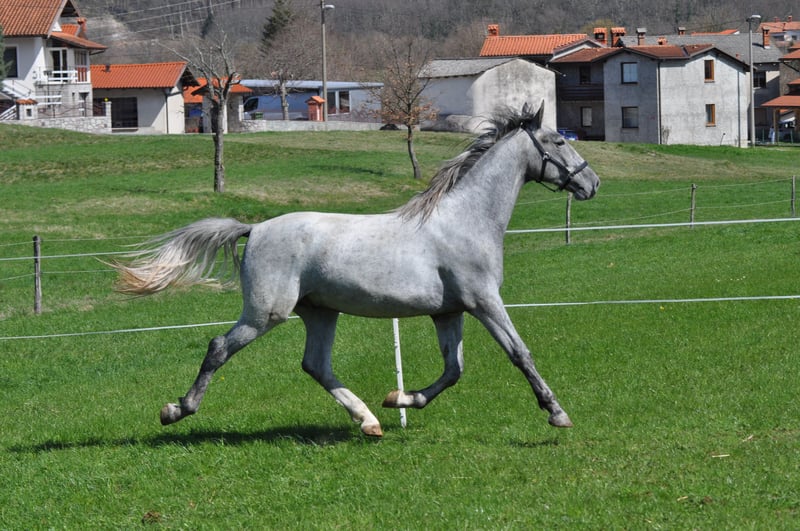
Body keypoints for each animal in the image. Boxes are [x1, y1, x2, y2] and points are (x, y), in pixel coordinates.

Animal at [112, 104, 600, 437]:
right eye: (558, 140)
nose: (591, 183)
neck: (466, 219)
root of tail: (256, 228)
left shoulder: (449, 312)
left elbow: (453, 370)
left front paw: (401, 398)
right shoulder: (484, 301)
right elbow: (519, 354)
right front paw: (557, 414)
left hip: (319, 312)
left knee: (315, 365)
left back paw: (368, 420)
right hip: (267, 313)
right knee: (218, 348)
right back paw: (176, 410)